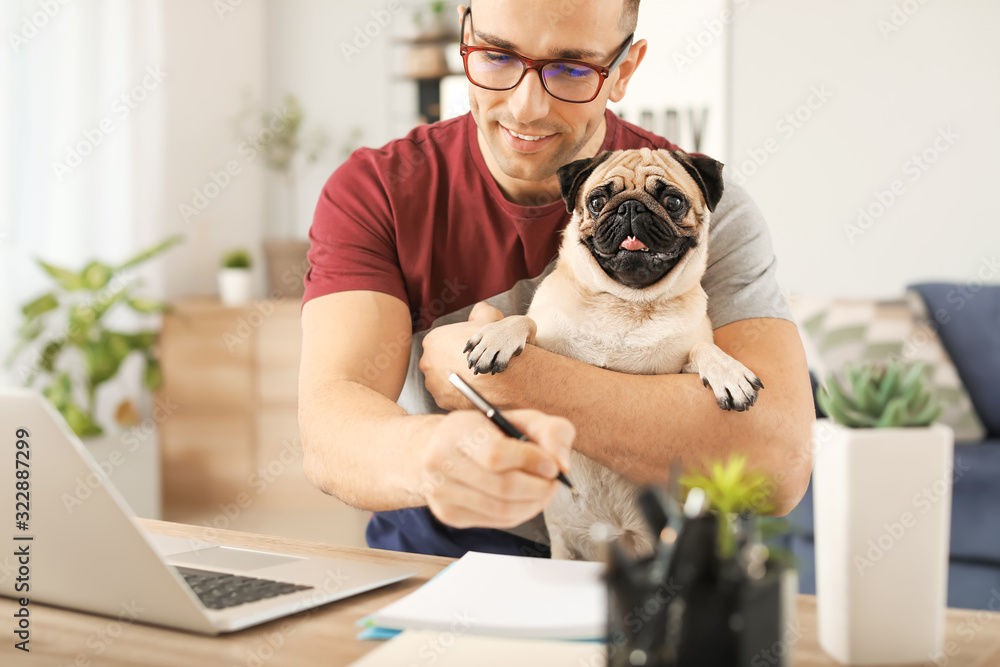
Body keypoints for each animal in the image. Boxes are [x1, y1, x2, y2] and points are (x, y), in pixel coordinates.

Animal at [464, 147, 760, 564]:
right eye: (597, 201)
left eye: (673, 202)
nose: (630, 208)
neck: (625, 302)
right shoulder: (547, 339)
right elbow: (525, 320)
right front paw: (498, 335)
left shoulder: (681, 366)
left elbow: (703, 347)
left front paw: (728, 372)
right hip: (565, 547)